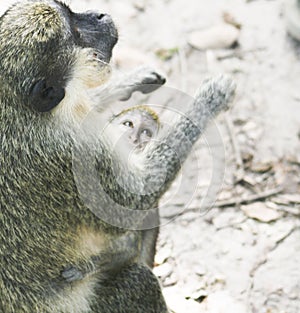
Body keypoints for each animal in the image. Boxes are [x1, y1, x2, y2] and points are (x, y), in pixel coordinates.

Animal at [0, 1, 236, 310]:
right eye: (76, 33)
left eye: (71, 12)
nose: (99, 15)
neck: (16, 105)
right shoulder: (77, 153)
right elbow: (135, 198)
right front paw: (209, 99)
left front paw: (129, 81)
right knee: (139, 281)